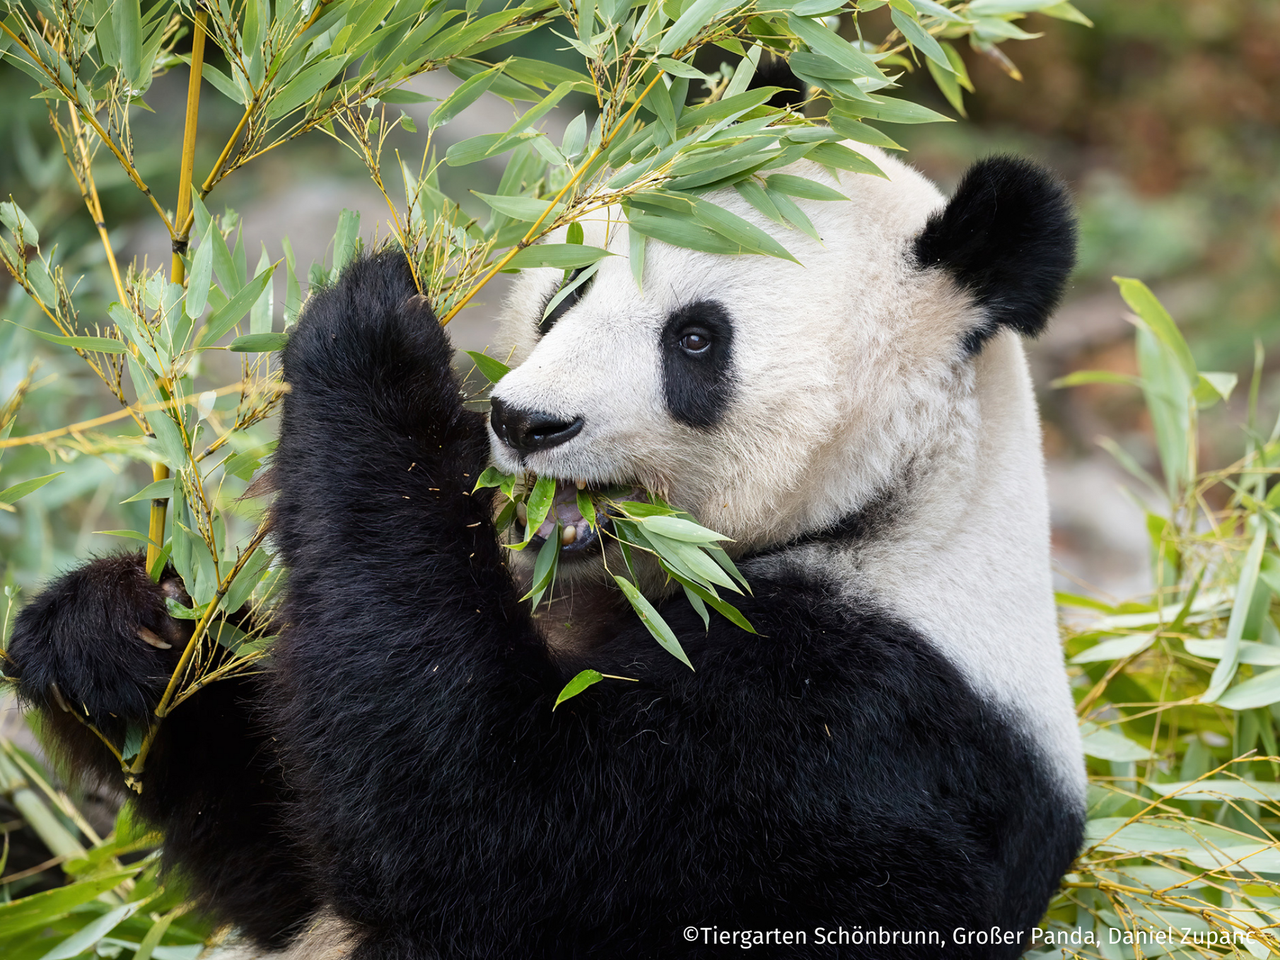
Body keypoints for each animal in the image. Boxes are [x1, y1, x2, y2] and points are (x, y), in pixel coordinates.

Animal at [2, 144, 1080, 960]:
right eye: (568, 289)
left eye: (696, 340)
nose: (525, 421)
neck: (897, 507)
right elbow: (285, 851)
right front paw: (114, 637)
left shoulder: (846, 736)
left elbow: (483, 829)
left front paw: (378, 333)